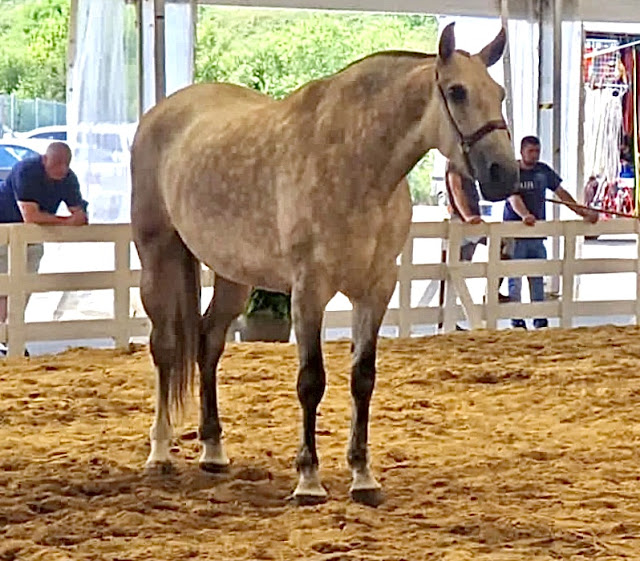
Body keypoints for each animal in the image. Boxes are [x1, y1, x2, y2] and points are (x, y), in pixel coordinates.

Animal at [130, 22, 519, 506]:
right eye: (457, 91)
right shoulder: (309, 290)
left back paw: (214, 450)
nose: (505, 174)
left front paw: (363, 476)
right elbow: (310, 380)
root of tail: (161, 112)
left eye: (499, 92)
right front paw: (308, 479)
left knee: (208, 342)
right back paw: (160, 451)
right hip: (157, 256)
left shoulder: (376, 288)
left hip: (232, 275)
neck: (357, 164)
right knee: (165, 346)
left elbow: (362, 378)